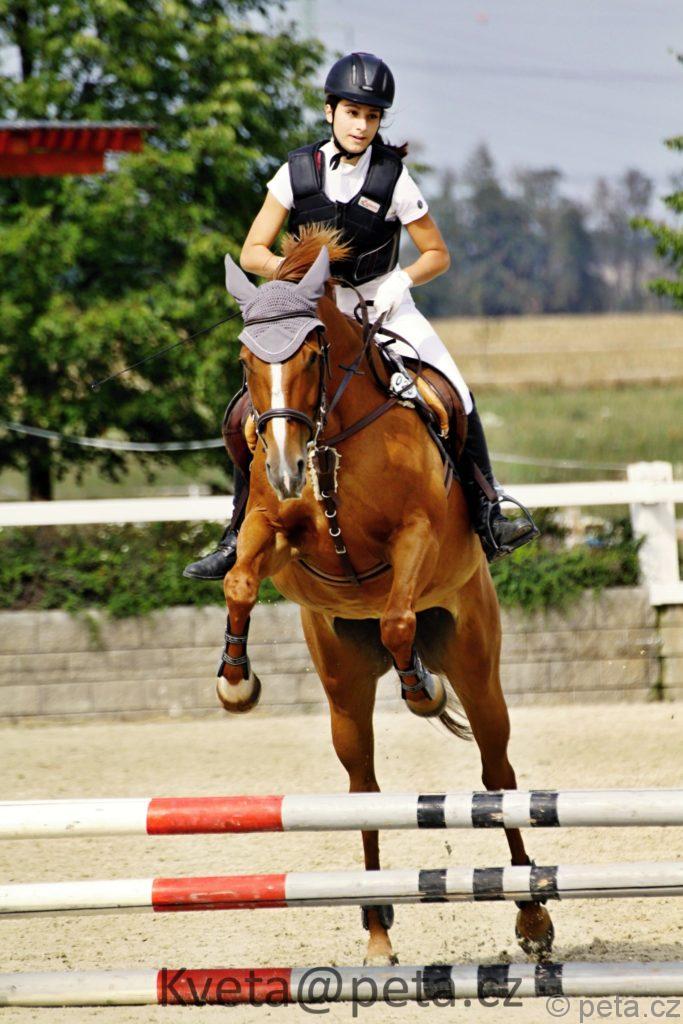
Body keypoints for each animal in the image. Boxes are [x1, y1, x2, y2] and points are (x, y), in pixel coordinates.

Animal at [215, 226, 554, 966]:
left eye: (312, 352)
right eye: (247, 357)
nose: (285, 469)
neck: (328, 435)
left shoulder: (415, 536)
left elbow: (398, 615)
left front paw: (420, 686)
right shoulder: (272, 531)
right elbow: (239, 579)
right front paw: (234, 680)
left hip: (477, 661)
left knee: (497, 777)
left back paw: (533, 918)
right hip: (343, 689)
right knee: (363, 792)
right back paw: (376, 930)